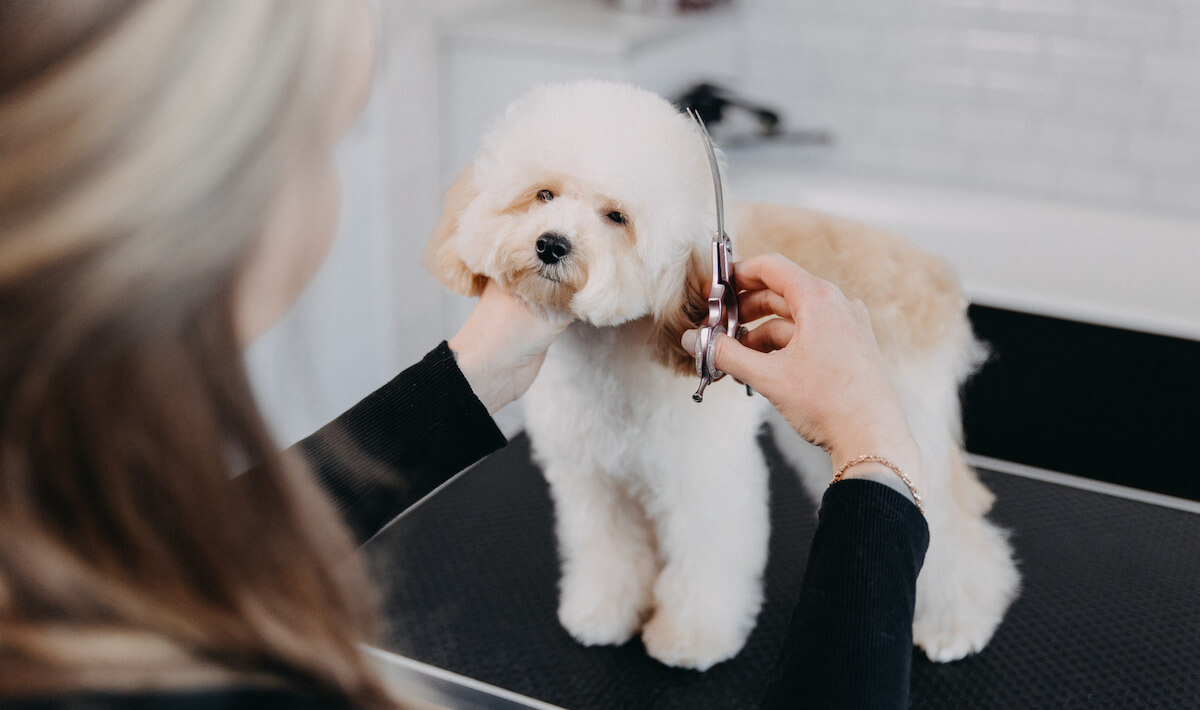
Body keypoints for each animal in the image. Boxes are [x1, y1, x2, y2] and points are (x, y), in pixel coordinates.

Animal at [427, 80, 1017, 666]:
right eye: (543, 194)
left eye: (616, 217)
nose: (551, 245)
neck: (605, 357)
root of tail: (936, 272)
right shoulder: (593, 482)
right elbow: (608, 554)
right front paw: (601, 613)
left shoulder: (703, 479)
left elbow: (704, 562)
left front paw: (690, 640)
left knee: (952, 530)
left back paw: (958, 620)